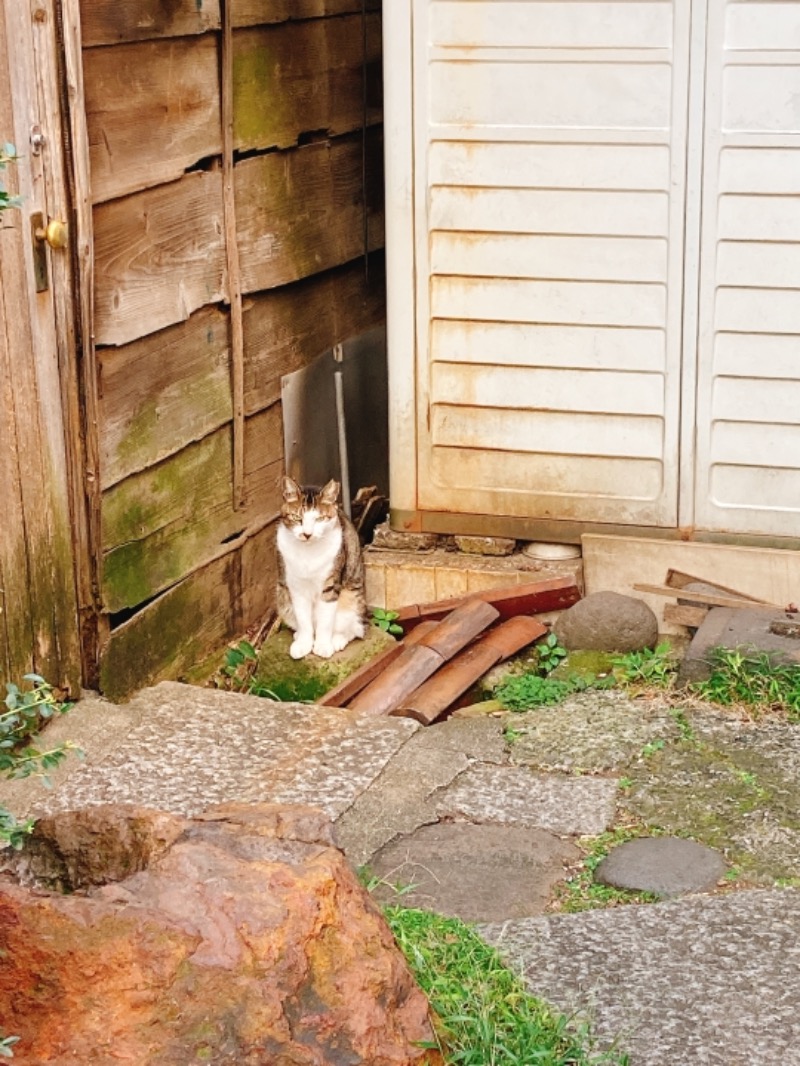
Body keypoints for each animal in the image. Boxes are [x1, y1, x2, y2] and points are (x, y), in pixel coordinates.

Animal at [277, 475, 369, 656]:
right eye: (297, 518)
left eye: (319, 519)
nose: (307, 534)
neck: (307, 552)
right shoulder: (296, 586)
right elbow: (303, 619)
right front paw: (304, 644)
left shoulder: (330, 584)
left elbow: (325, 621)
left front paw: (323, 646)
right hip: (282, 597)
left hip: (352, 599)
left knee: (356, 629)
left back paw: (338, 640)